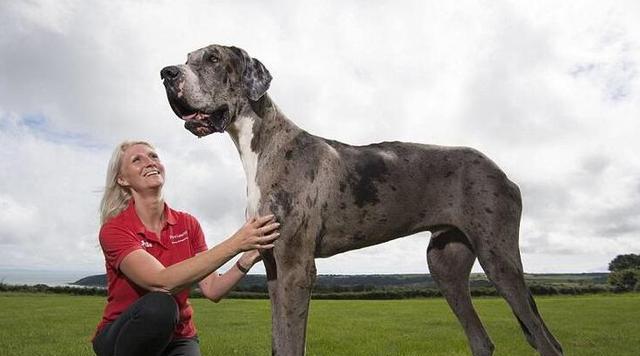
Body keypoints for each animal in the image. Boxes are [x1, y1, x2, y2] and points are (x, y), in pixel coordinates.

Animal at [161, 45, 564, 356]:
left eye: (213, 58)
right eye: (187, 57)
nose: (166, 73)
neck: (262, 145)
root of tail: (503, 173)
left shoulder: (296, 267)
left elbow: (291, 343)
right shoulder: (274, 267)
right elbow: (279, 341)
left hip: (498, 258)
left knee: (547, 342)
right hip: (444, 264)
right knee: (482, 340)